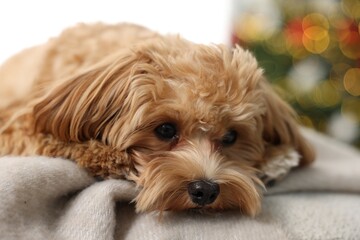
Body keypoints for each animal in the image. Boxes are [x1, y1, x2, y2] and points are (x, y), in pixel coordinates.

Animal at [0, 23, 316, 217]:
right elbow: (54, 139)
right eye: (165, 130)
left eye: (230, 137)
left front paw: (277, 159)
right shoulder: (17, 125)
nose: (205, 190)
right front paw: (108, 157)